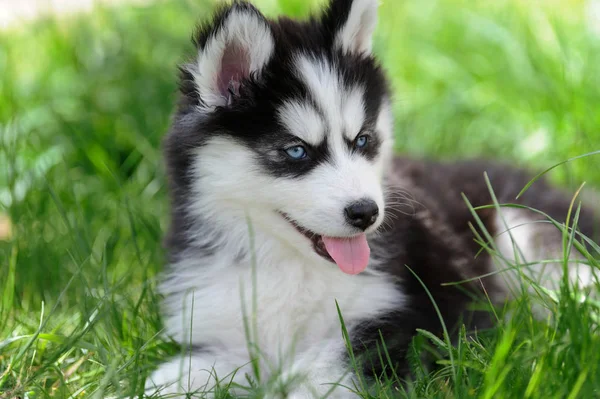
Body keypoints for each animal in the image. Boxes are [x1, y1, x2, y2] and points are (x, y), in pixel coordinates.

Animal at [146, 0, 600, 396]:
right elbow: (167, 381)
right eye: (296, 151)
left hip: (520, 229)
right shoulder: (216, 331)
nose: (366, 213)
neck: (287, 265)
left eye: (363, 139)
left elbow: (323, 373)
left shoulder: (400, 324)